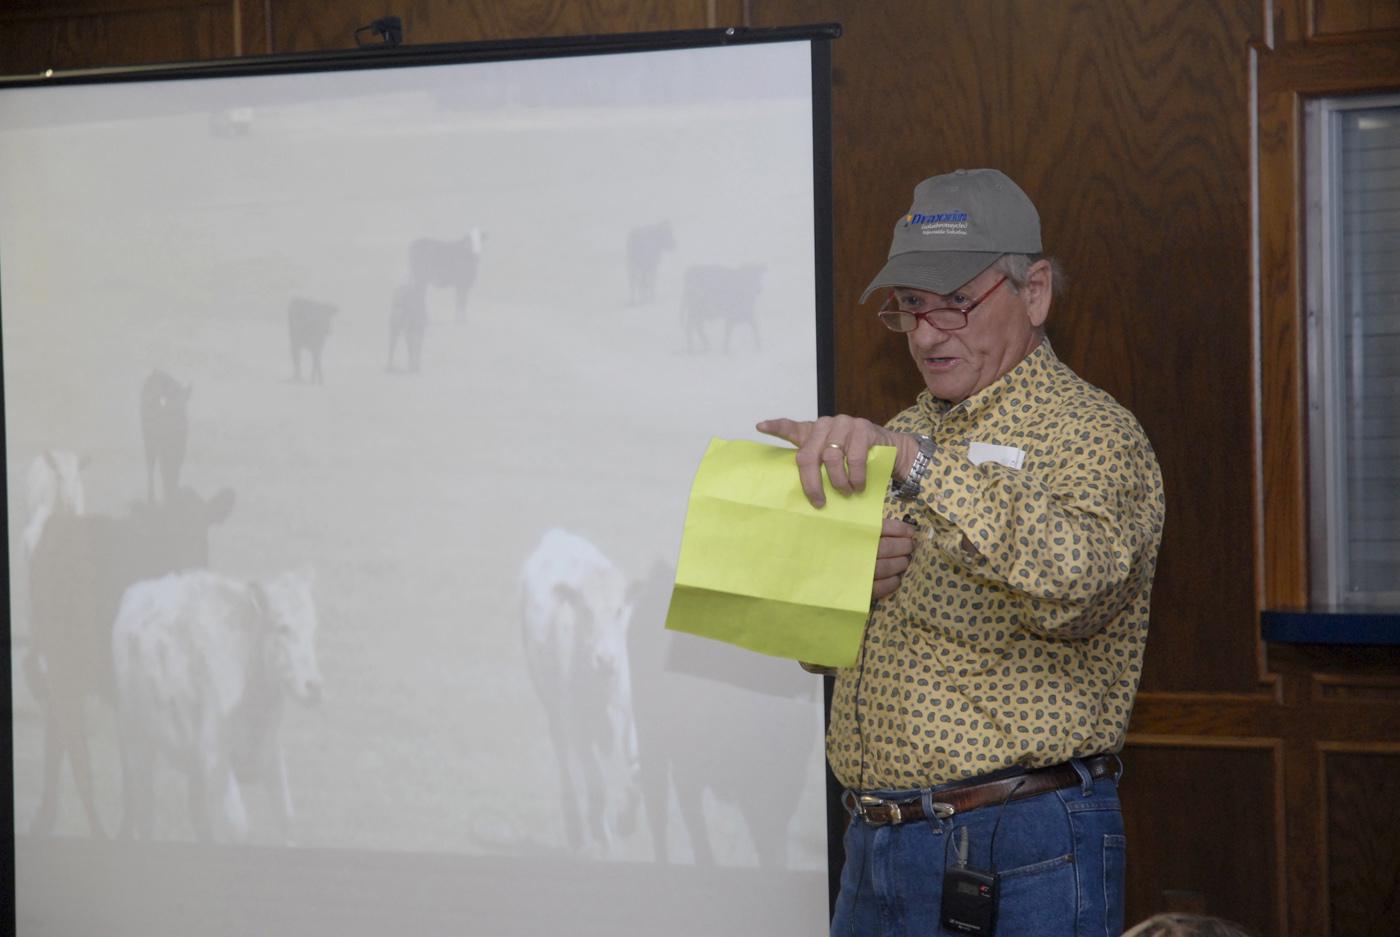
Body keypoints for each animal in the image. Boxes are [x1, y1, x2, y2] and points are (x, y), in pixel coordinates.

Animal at [25, 481, 238, 834]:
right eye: (165, 533)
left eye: (202, 529)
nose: (188, 571)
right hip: (65, 667)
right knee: (77, 758)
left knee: (59, 740)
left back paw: (47, 818)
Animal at [110, 565, 323, 845]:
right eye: (282, 627)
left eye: (313, 628)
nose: (314, 686)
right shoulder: (215, 758)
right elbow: (240, 828)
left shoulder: (270, 753)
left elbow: (287, 819)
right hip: (136, 740)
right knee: (146, 814)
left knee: (196, 811)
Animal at [518, 526, 641, 857]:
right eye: (585, 609)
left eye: (619, 609)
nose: (605, 658)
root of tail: (556, 534)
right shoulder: (576, 721)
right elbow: (596, 781)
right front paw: (600, 831)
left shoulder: (626, 710)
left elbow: (634, 766)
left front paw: (627, 820)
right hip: (549, 700)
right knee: (563, 756)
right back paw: (575, 827)